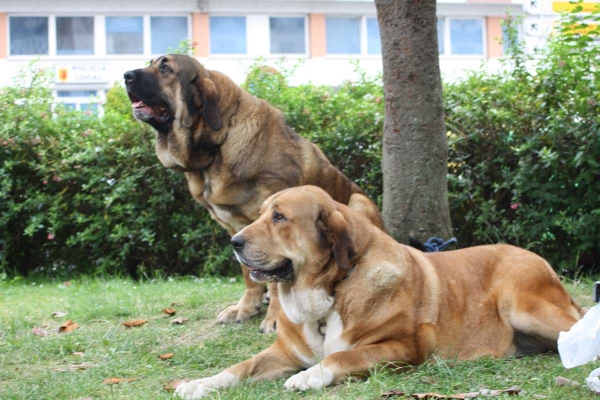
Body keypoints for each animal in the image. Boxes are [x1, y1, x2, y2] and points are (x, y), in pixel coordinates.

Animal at [123, 55, 384, 332]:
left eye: (165, 67)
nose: (126, 75)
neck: (217, 148)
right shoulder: (235, 228)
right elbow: (248, 274)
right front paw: (246, 307)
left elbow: (278, 276)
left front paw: (275, 317)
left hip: (358, 201)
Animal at [173, 186, 580, 398]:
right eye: (260, 214)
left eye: (280, 217)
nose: (234, 242)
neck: (330, 294)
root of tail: (541, 262)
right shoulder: (281, 353)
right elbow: (240, 367)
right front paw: (201, 383)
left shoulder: (400, 348)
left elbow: (341, 357)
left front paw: (310, 376)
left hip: (523, 306)